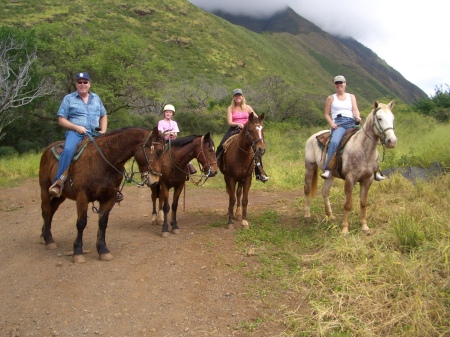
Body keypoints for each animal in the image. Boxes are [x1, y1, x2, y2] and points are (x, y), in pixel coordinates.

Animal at [38, 125, 164, 260]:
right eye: (157, 151)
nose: (155, 181)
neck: (103, 160)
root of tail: (48, 149)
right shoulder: (82, 196)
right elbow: (81, 223)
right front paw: (78, 252)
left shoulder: (109, 197)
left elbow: (103, 222)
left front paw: (103, 250)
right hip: (44, 189)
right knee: (46, 211)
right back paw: (49, 240)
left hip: (61, 196)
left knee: (52, 210)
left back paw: (44, 235)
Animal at [304, 100, 396, 234]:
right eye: (379, 118)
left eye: (392, 118)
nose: (392, 141)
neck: (364, 150)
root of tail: (312, 136)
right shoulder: (350, 179)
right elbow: (348, 204)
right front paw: (345, 229)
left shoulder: (367, 180)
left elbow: (363, 203)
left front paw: (364, 226)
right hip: (309, 167)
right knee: (307, 189)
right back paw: (307, 215)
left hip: (330, 176)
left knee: (325, 192)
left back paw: (330, 215)